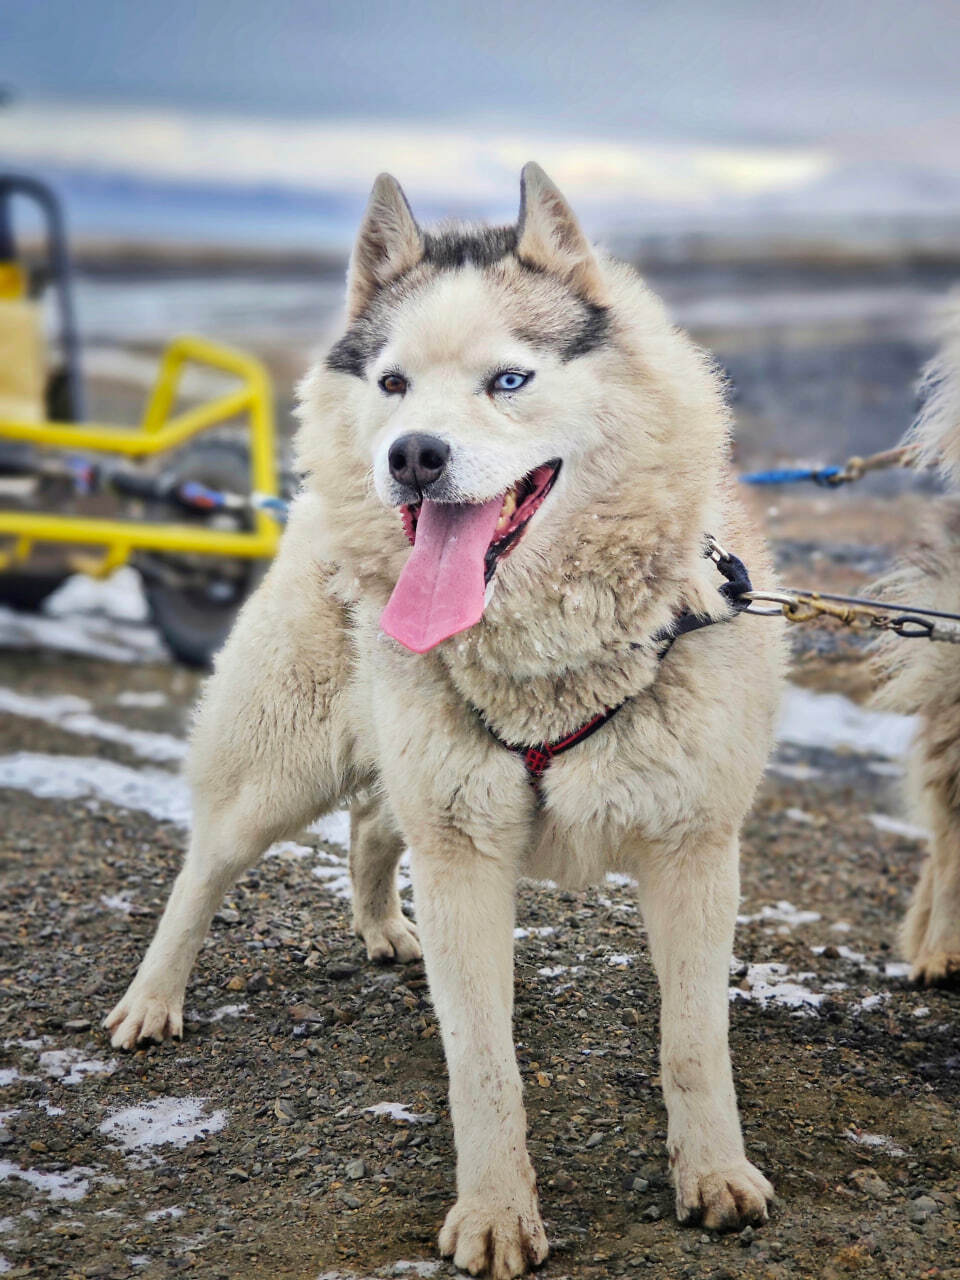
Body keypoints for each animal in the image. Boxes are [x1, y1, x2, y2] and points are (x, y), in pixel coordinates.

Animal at [104, 165, 783, 1274]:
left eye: (508, 380)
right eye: (391, 383)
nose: (412, 455)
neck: (547, 663)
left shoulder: (692, 848)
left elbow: (693, 1042)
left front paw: (714, 1175)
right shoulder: (466, 853)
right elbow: (482, 1063)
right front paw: (497, 1212)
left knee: (372, 828)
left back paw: (383, 927)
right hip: (276, 772)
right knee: (205, 868)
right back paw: (153, 998)